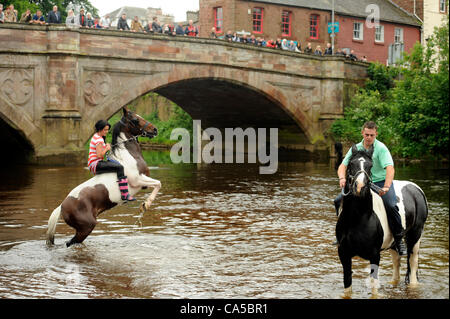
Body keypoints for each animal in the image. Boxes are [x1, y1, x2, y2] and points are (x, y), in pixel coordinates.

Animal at [45, 107, 161, 248]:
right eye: (135, 120)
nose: (154, 130)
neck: (128, 155)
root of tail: (61, 206)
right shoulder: (138, 180)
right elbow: (158, 183)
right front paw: (145, 205)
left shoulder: (143, 183)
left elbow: (157, 184)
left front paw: (145, 205)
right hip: (87, 227)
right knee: (70, 242)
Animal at [336, 146, 428, 298]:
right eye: (351, 164)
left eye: (370, 165)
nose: (359, 187)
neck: (357, 218)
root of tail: (416, 189)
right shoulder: (344, 254)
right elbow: (347, 283)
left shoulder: (374, 255)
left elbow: (374, 285)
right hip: (393, 244)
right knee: (396, 262)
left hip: (416, 234)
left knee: (413, 263)